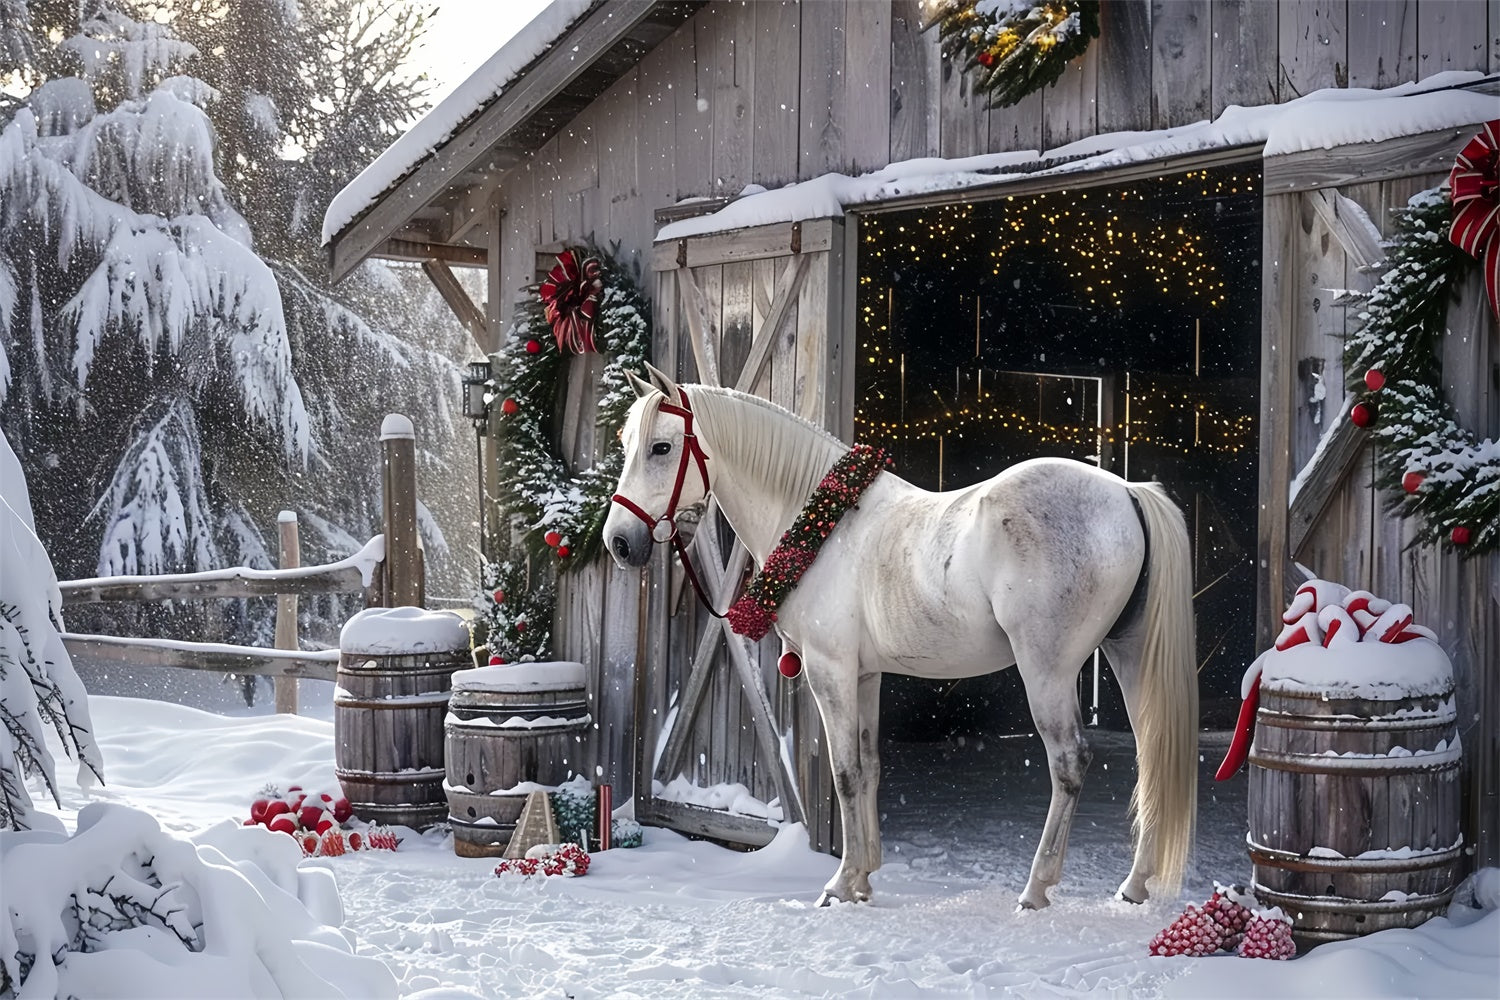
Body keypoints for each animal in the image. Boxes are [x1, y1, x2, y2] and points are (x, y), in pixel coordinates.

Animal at [603, 364, 1198, 911]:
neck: (822, 522)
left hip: (1047, 669)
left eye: (661, 447)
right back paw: (1134, 886)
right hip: (1128, 654)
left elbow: (845, 773)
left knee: (1069, 761)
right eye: (627, 445)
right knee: (1151, 754)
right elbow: (869, 769)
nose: (619, 542)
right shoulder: (865, 674)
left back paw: (1036, 890)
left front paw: (839, 884)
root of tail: (1126, 491)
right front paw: (864, 879)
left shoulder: (830, 671)